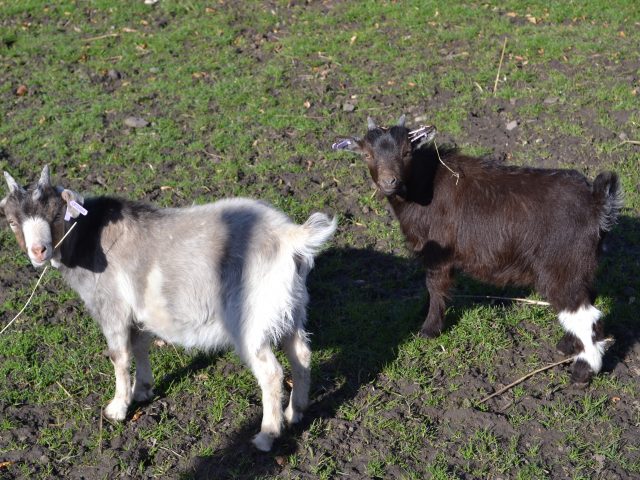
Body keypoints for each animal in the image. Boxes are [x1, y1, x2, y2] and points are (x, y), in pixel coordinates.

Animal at [0, 166, 337, 451]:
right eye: (13, 221)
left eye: (56, 215)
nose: (38, 251)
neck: (88, 238)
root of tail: (289, 237)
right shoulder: (138, 312)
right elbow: (140, 345)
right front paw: (142, 390)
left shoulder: (112, 307)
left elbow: (119, 355)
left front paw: (117, 409)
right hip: (292, 308)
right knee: (301, 354)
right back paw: (295, 413)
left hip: (250, 318)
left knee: (271, 373)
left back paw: (267, 435)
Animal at [336, 115, 622, 384]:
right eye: (367, 154)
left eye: (407, 152)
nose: (389, 182)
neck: (425, 184)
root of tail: (597, 201)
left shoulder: (437, 254)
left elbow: (435, 288)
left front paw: (429, 330)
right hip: (580, 265)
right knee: (588, 300)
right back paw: (567, 345)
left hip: (561, 266)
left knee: (583, 311)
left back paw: (582, 372)